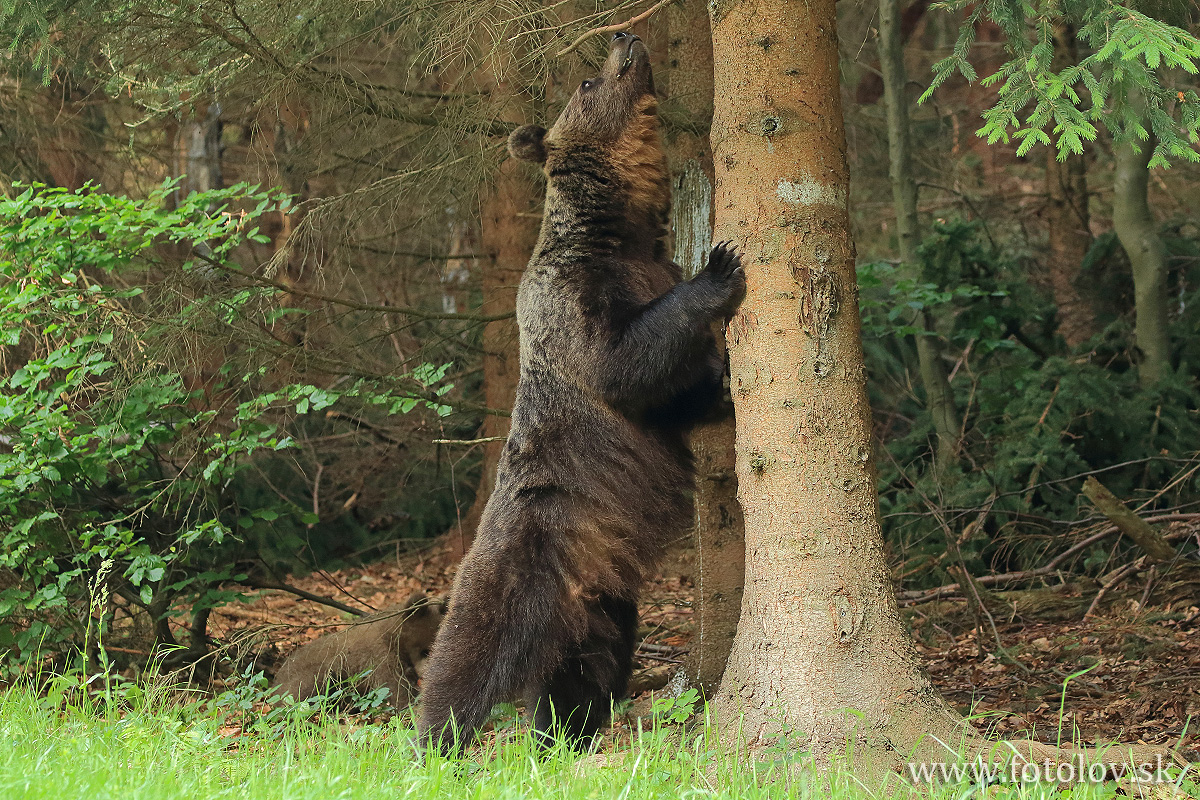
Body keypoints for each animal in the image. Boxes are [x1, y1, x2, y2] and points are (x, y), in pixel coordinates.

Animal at [417, 31, 744, 753]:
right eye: (588, 84)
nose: (624, 37)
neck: (619, 231)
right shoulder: (570, 299)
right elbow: (618, 363)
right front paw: (721, 268)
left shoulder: (642, 269)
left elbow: (667, 394)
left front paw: (721, 386)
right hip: (515, 559)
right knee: (464, 651)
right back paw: (436, 738)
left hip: (602, 599)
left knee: (584, 671)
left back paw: (564, 736)